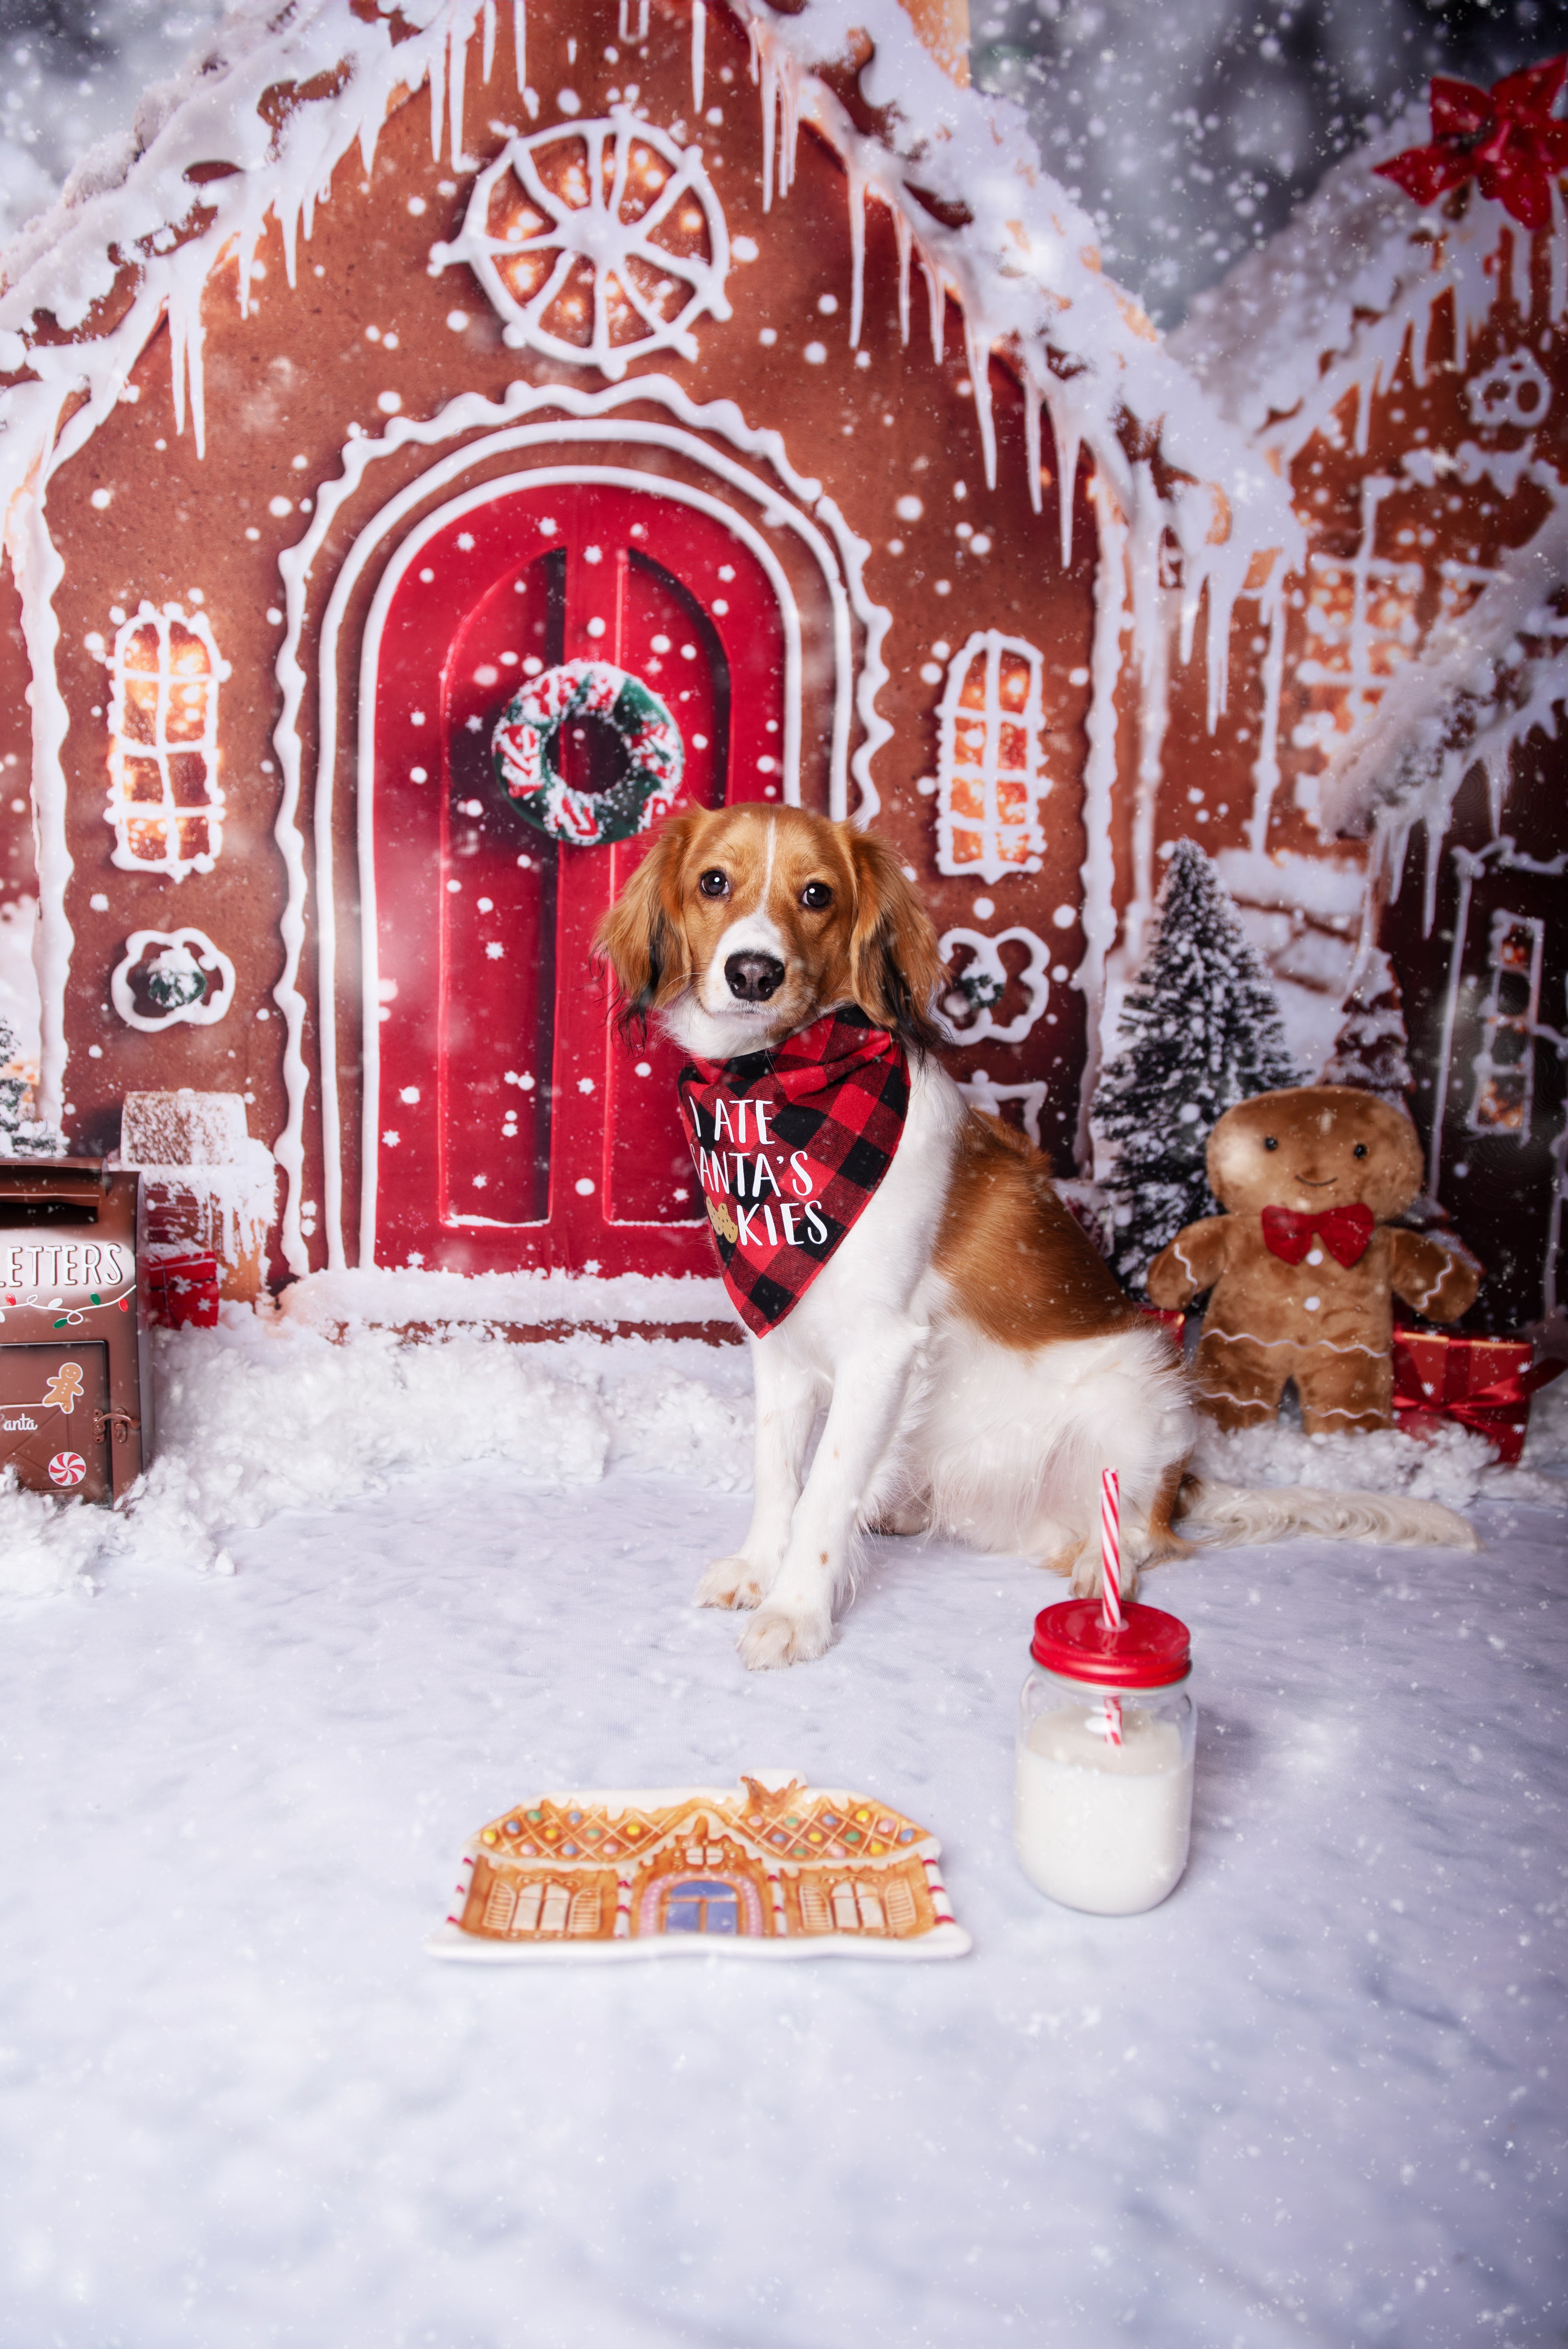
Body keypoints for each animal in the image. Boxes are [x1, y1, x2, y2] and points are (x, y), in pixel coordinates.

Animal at [594, 808, 1192, 1672]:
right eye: (712, 881)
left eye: (817, 894)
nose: (754, 973)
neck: (775, 1090)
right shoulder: (779, 1332)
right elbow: (779, 1472)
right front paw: (759, 1566)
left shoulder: (881, 1346)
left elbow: (826, 1488)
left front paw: (794, 1612)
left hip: (1142, 1392)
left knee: (1138, 1530)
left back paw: (1098, 1572)